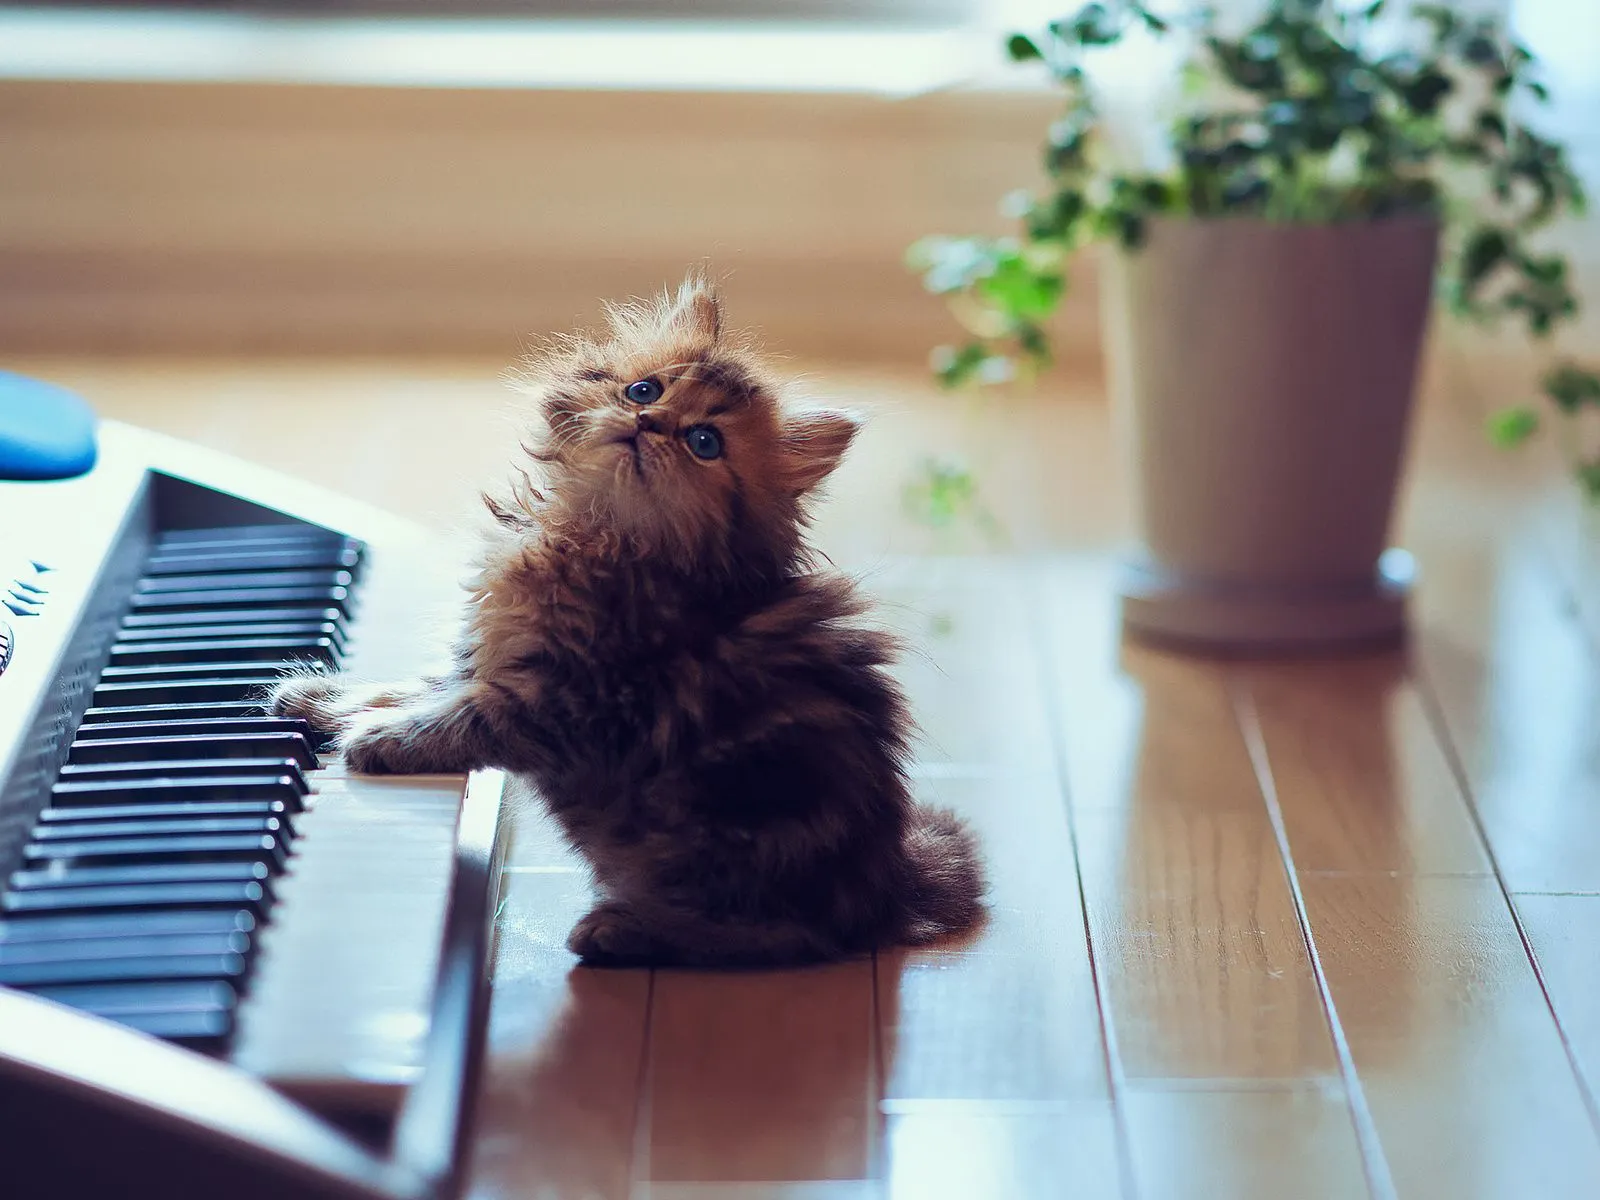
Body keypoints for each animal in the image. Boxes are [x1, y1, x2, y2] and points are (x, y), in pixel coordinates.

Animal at [265, 276, 985, 972]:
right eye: (646, 389)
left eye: (704, 442)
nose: (649, 421)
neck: (594, 531)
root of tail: (889, 886)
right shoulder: (485, 654)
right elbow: (409, 687)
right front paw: (318, 695)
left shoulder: (574, 698)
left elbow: (461, 719)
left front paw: (380, 739)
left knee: (784, 940)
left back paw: (622, 931)